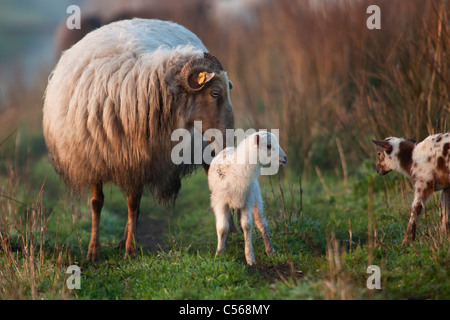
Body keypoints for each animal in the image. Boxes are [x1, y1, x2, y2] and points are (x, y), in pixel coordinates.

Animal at [43, 18, 236, 260]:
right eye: (215, 93)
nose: (230, 135)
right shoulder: (95, 158)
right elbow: (97, 203)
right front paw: (93, 251)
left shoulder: (136, 160)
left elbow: (132, 203)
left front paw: (131, 250)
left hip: (202, 150)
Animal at [208, 130, 288, 264]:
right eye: (269, 146)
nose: (285, 158)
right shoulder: (220, 201)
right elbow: (222, 228)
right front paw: (219, 254)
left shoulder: (248, 200)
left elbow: (247, 226)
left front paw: (250, 257)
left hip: (256, 196)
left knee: (261, 223)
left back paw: (270, 249)